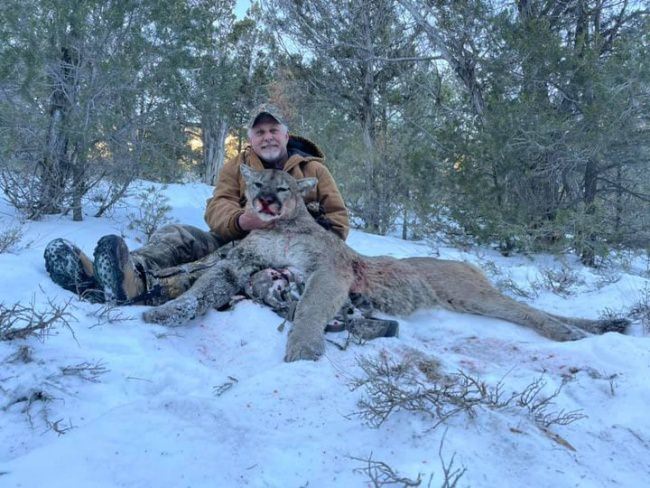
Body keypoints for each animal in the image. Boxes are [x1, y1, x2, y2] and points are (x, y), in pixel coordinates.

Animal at [140, 166, 624, 360]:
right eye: (258, 183)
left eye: (284, 188)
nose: (264, 201)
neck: (281, 230)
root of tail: (469, 266)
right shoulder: (240, 264)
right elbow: (202, 289)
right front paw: (165, 312)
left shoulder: (329, 271)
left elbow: (311, 308)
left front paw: (304, 348)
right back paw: (602, 327)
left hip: (472, 295)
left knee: (528, 311)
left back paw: (574, 334)